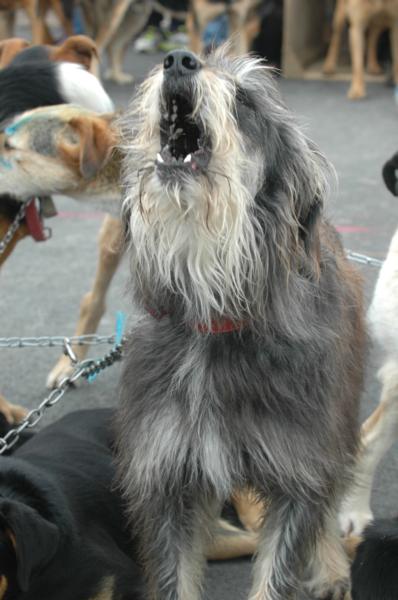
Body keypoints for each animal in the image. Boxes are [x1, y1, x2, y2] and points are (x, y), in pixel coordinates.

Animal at [116, 48, 366, 600]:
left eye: (246, 101)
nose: (177, 59)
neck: (217, 316)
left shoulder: (301, 469)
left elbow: (280, 564)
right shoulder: (169, 475)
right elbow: (176, 575)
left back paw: (331, 566)